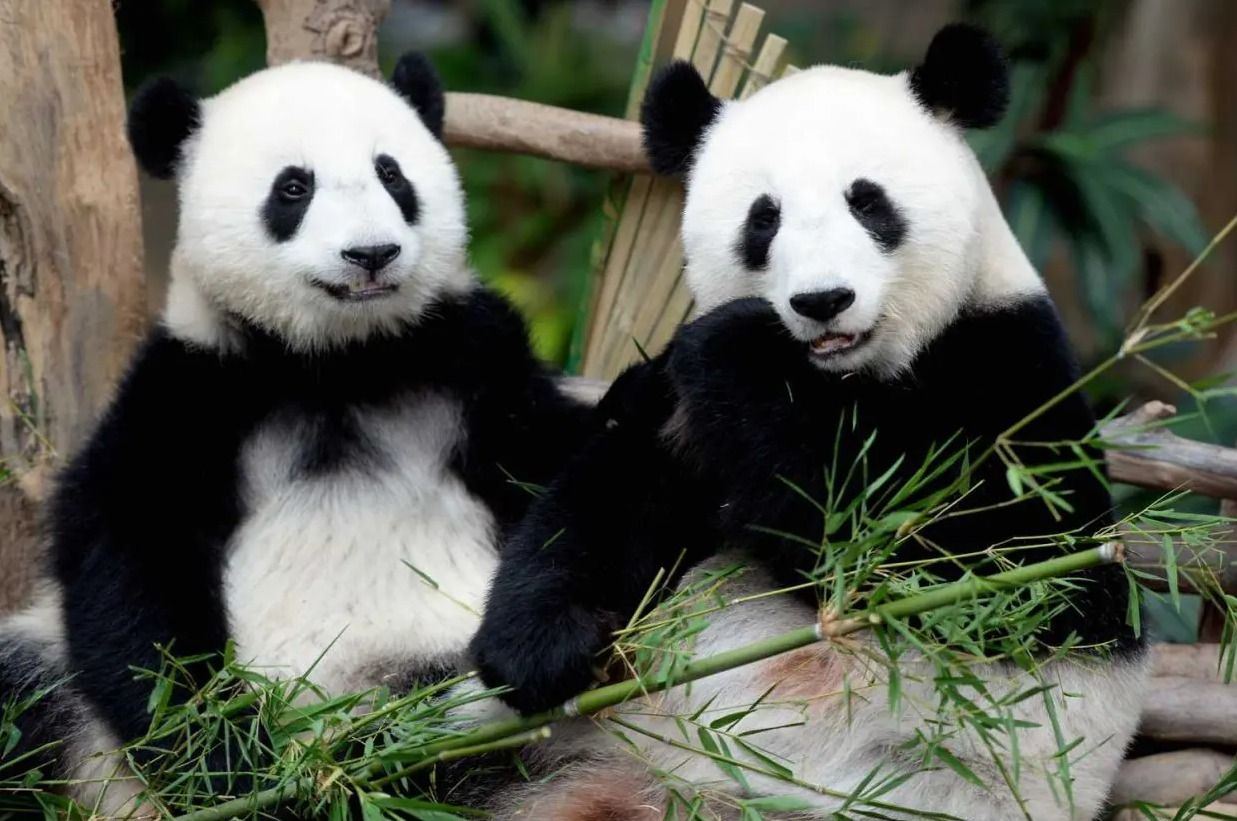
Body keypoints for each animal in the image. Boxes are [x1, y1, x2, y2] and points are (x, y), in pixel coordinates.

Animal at [0, 54, 590, 812]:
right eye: (293, 187)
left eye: (392, 174)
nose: (372, 254)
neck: (338, 361)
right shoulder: (192, 389)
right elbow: (131, 561)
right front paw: (227, 763)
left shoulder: (477, 366)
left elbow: (564, 474)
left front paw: (542, 644)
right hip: (61, 696)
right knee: (24, 697)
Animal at [468, 24, 1147, 820]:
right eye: (764, 218)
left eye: (868, 202)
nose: (823, 301)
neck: (842, 375)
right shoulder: (674, 405)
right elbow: (610, 494)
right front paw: (541, 649)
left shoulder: (1008, 375)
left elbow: (985, 562)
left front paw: (742, 344)